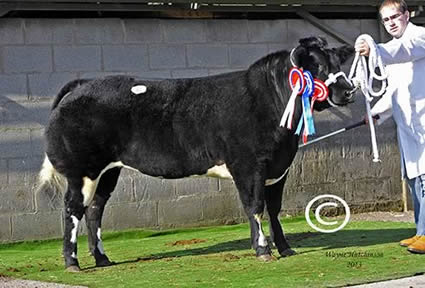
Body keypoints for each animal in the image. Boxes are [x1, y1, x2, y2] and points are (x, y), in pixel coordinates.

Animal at [37, 37, 354, 272]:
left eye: (338, 63)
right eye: (318, 65)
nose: (349, 90)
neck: (271, 101)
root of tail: (83, 84)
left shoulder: (279, 167)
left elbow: (274, 209)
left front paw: (286, 248)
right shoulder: (248, 165)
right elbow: (255, 207)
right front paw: (263, 250)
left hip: (108, 171)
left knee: (94, 210)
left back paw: (102, 259)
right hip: (82, 170)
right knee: (72, 209)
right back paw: (73, 263)